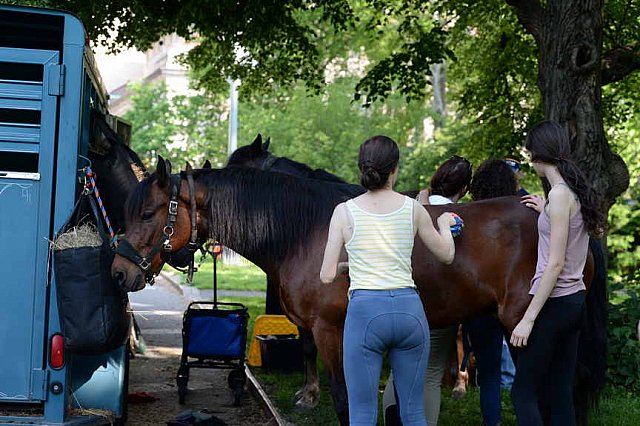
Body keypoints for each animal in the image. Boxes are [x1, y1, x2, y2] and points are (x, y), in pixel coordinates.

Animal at [114, 158, 600, 424]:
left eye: (149, 212)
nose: (119, 272)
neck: (306, 231)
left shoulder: (334, 332)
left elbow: (346, 400)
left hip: (523, 329)